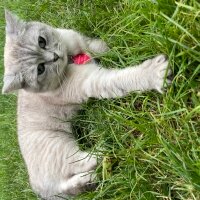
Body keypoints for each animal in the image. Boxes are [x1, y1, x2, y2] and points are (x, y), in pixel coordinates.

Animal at [2, 10, 171, 200]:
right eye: (40, 69)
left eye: (41, 41)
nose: (55, 57)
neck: (70, 57)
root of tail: (40, 190)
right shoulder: (93, 81)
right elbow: (122, 78)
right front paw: (155, 73)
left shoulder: (78, 39)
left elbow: (97, 46)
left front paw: (114, 49)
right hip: (60, 147)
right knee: (81, 164)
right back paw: (103, 149)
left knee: (71, 185)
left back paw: (89, 180)